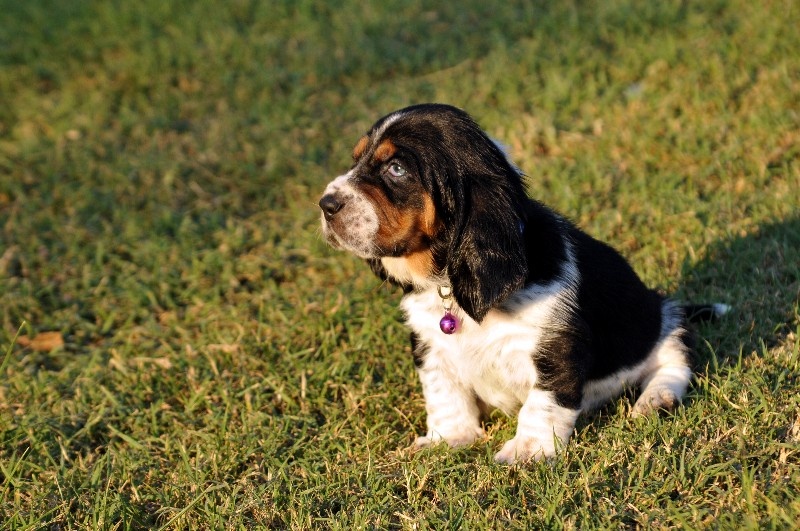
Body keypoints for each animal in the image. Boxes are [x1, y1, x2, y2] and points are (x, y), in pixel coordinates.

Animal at [318, 103, 726, 463]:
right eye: (356, 160)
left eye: (396, 168)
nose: (325, 204)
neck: (446, 283)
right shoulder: (430, 346)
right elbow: (444, 395)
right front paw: (447, 439)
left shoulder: (557, 347)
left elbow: (542, 404)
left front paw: (528, 451)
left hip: (664, 317)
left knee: (674, 362)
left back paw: (655, 401)